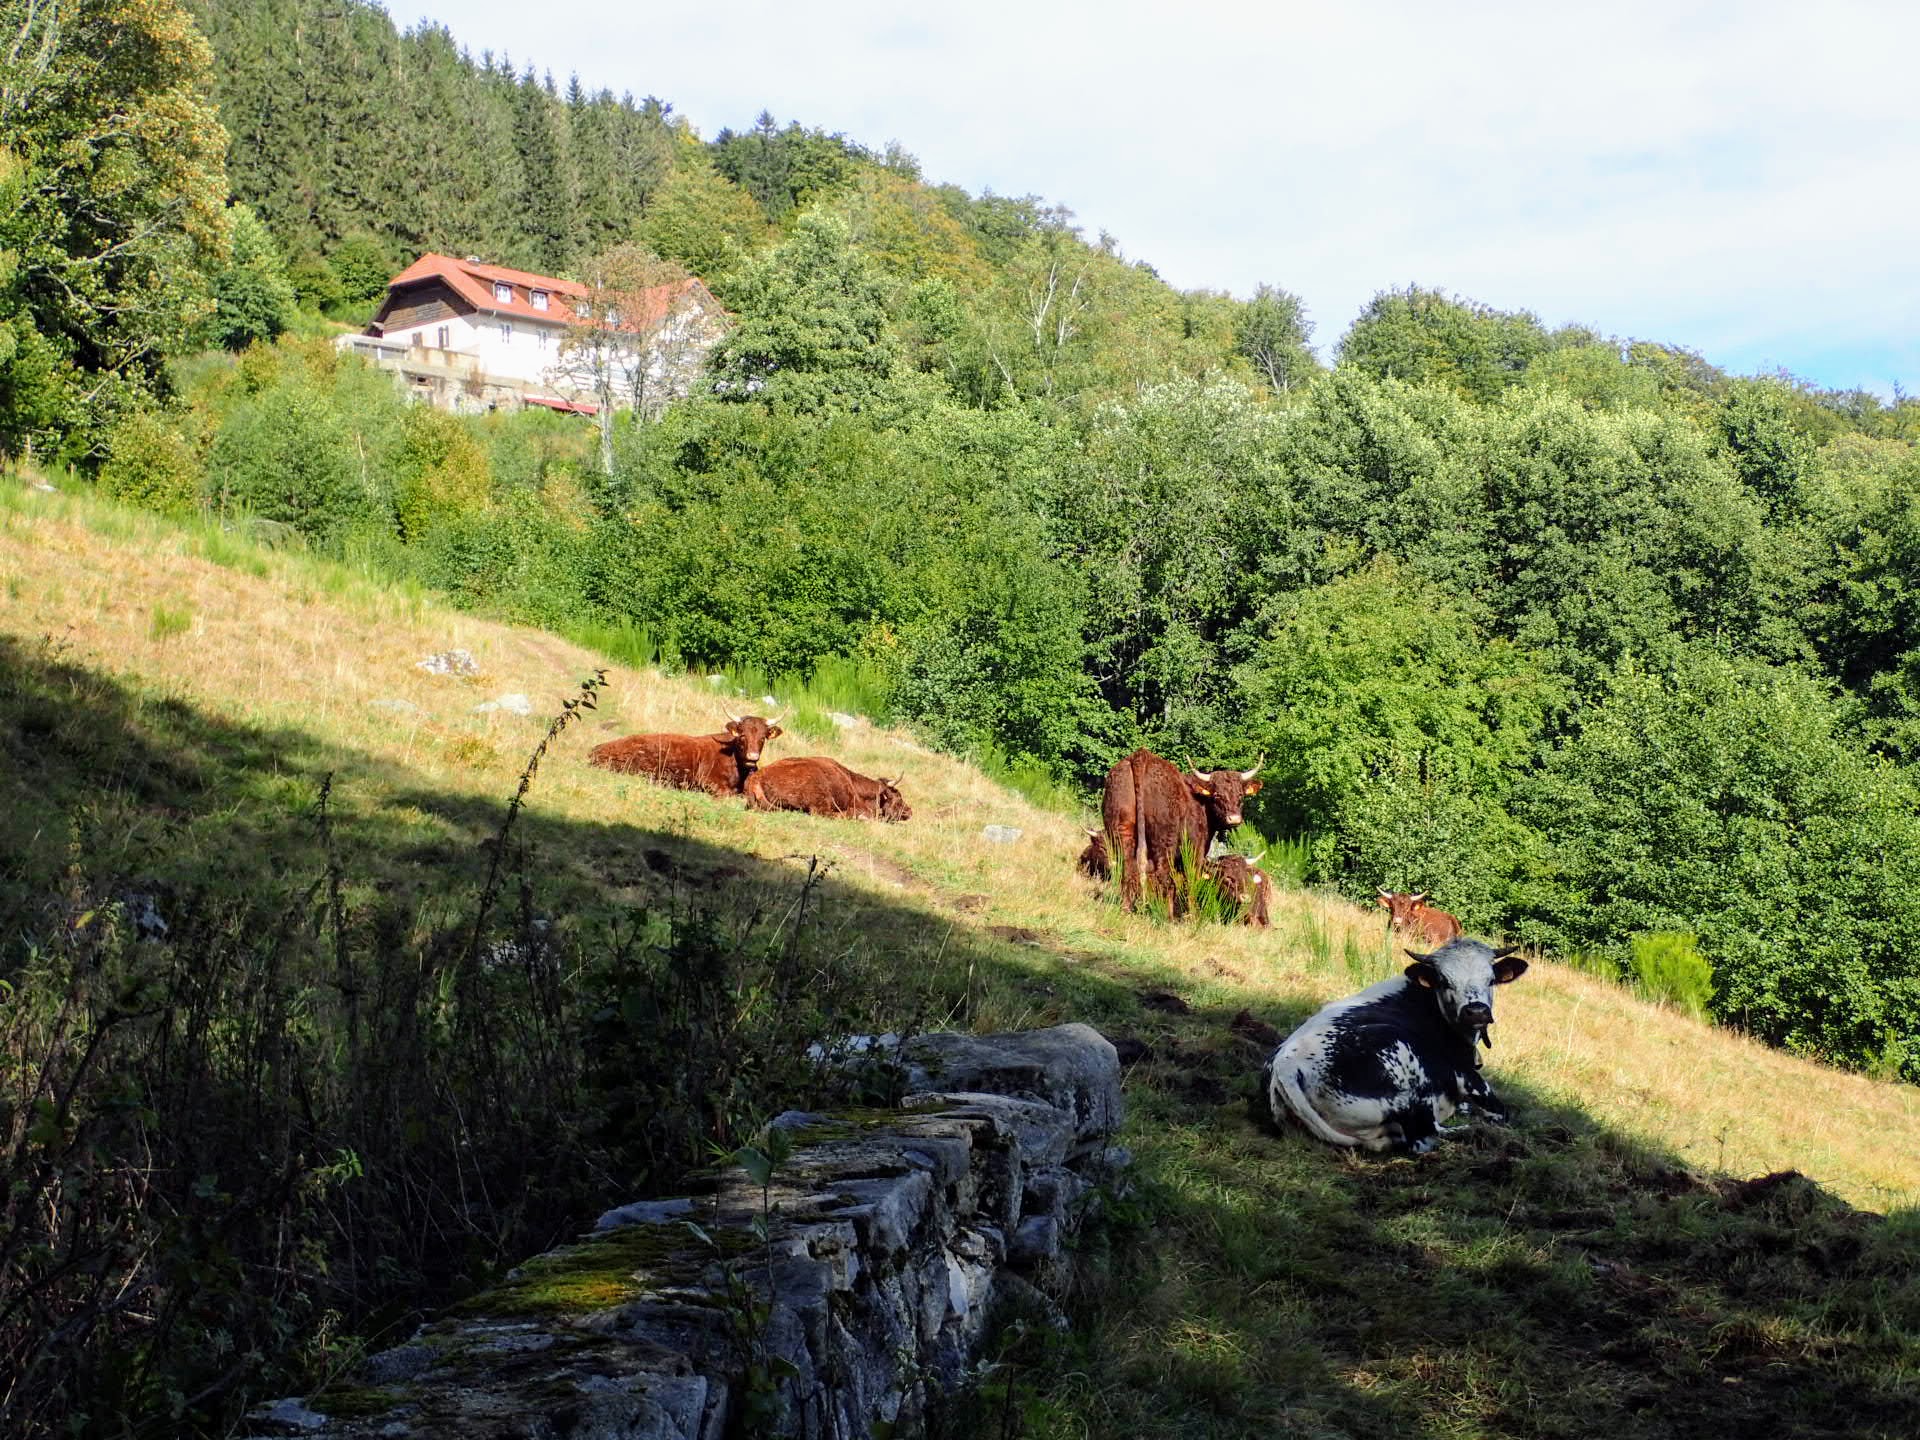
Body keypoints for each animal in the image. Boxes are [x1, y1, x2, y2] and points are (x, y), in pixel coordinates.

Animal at [1099, 749, 1263, 914]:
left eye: (1240, 795)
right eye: (1217, 795)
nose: (1234, 818)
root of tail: (1141, 756)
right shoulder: (1195, 852)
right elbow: (1190, 880)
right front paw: (1192, 914)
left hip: (1120, 831)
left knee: (1126, 868)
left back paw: (1126, 908)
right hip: (1164, 841)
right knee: (1164, 877)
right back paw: (1167, 916)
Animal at [1263, 938, 1528, 1153]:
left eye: (1491, 980)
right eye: (1444, 981)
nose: (1476, 1012)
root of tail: (1286, 1065)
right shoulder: (1469, 1078)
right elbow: (1500, 1112)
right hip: (1407, 1087)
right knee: (1425, 1137)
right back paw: (1468, 1130)